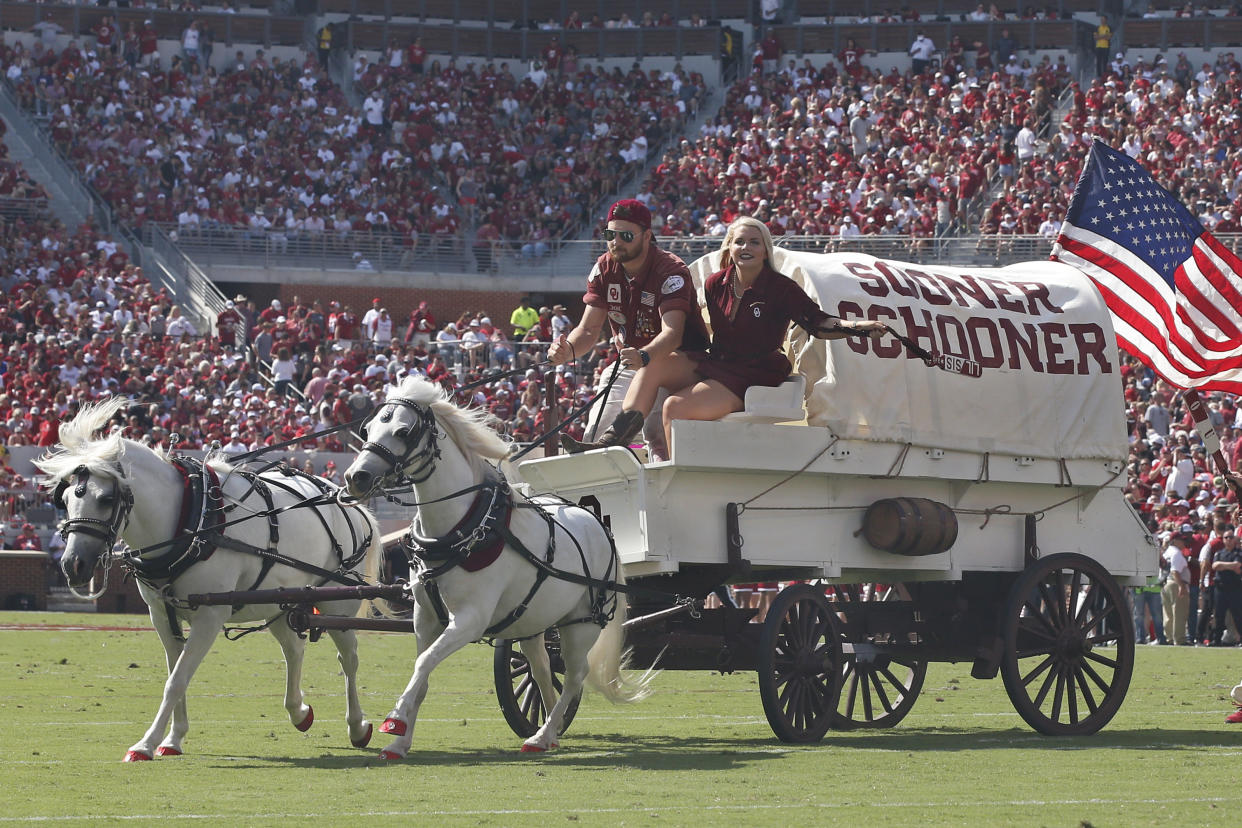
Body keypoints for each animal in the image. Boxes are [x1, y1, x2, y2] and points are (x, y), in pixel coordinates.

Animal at [40, 397, 382, 759]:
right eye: (65, 499)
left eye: (106, 499)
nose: (72, 565)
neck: (189, 519)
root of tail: (346, 500)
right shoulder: (162, 615)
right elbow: (176, 673)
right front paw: (173, 738)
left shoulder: (210, 614)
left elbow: (176, 679)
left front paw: (146, 744)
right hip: (279, 601)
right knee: (294, 648)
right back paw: (298, 711)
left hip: (338, 605)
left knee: (348, 659)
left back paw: (357, 726)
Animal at [340, 374, 650, 759]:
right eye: (367, 429)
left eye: (402, 431)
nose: (356, 478)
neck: (463, 530)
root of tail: (597, 523)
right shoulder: (424, 617)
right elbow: (422, 671)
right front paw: (400, 742)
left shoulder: (469, 620)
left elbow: (424, 663)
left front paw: (395, 722)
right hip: (534, 622)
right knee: (542, 670)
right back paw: (550, 732)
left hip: (582, 623)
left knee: (574, 676)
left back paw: (542, 735)